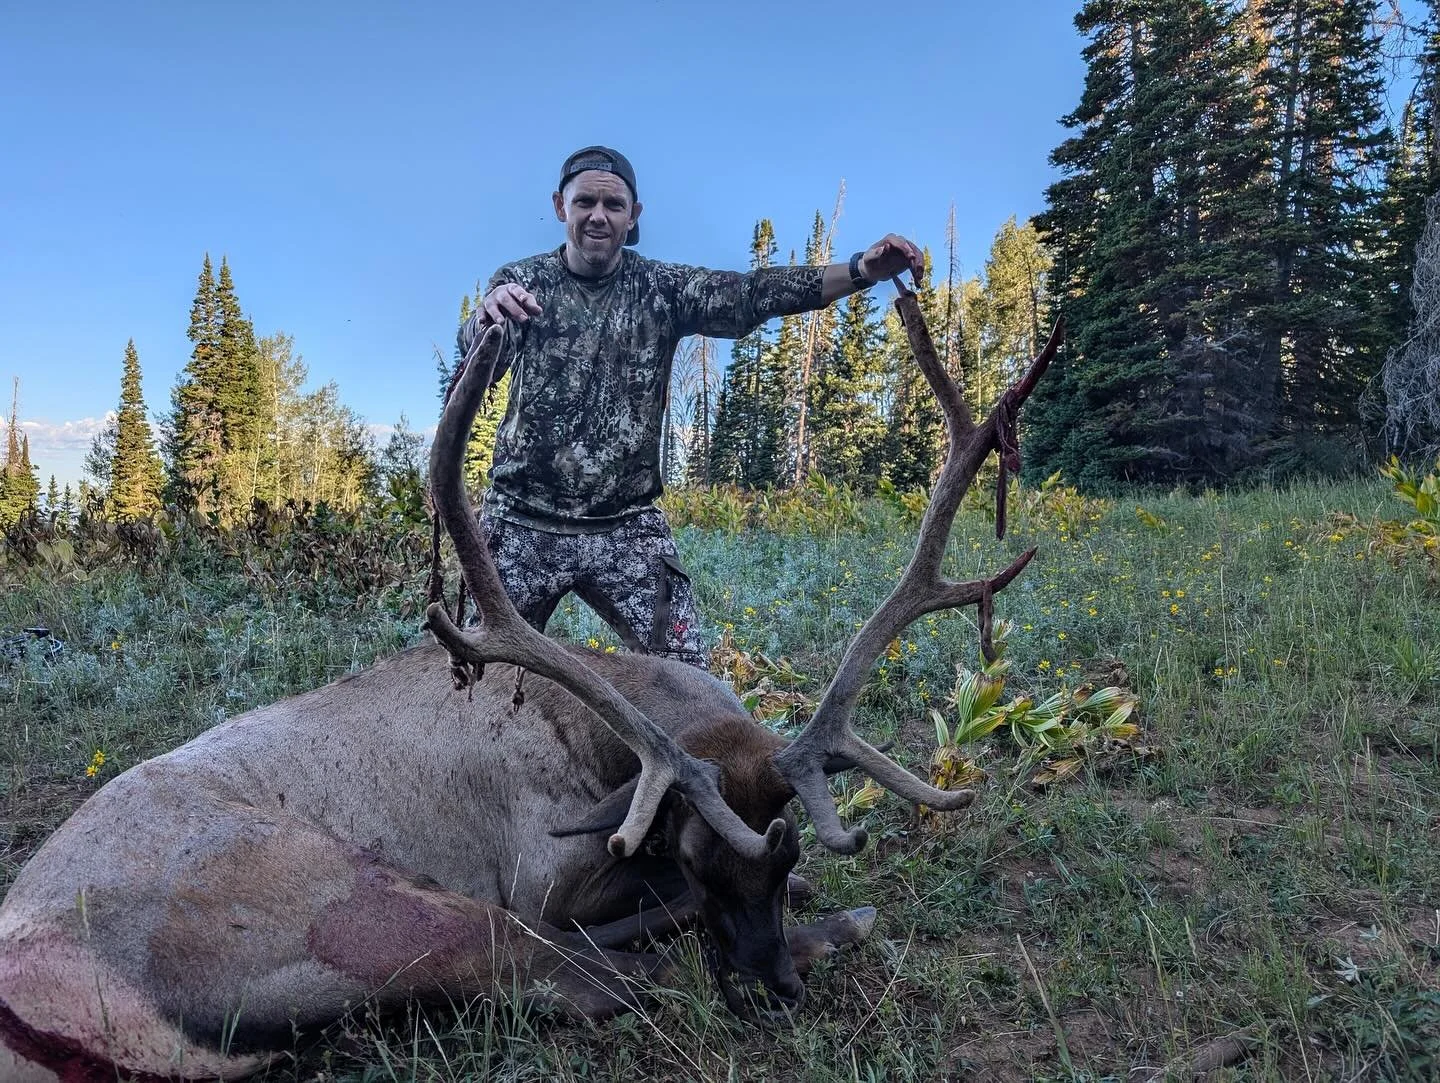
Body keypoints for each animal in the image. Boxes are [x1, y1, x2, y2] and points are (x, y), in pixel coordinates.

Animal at [0, 285, 1061, 1082]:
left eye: (789, 848)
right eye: (697, 856)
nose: (769, 990)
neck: (606, 743)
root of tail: (37, 1010)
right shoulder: (543, 870)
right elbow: (608, 932)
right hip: (337, 901)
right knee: (595, 978)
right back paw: (821, 932)